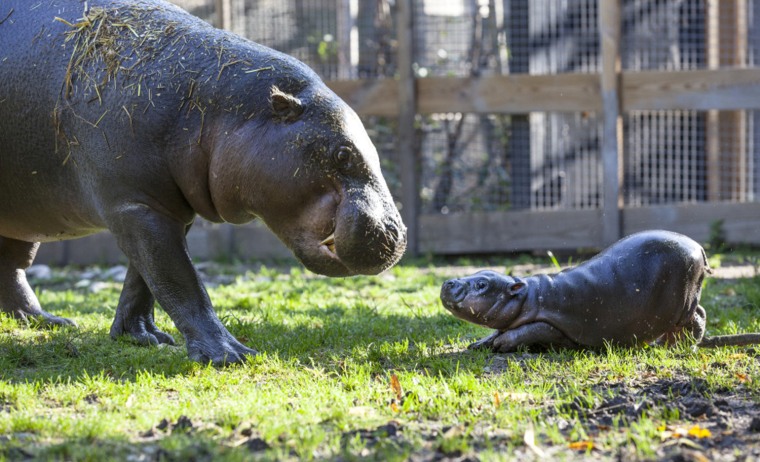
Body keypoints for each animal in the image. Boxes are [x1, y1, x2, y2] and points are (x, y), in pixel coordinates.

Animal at [1, 1, 410, 366]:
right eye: (343, 153)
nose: (396, 233)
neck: (212, 107)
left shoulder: (166, 209)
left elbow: (143, 280)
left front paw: (143, 337)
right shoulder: (138, 206)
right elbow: (181, 281)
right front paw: (232, 355)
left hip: (24, 216)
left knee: (13, 267)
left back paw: (47, 322)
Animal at [440, 229, 760, 352]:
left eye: (482, 284)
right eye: (477, 274)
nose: (448, 282)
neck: (527, 295)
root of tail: (700, 249)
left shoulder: (554, 324)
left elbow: (527, 330)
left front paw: (501, 344)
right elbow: (497, 329)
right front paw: (479, 343)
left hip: (684, 302)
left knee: (699, 317)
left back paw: (679, 346)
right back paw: (664, 344)